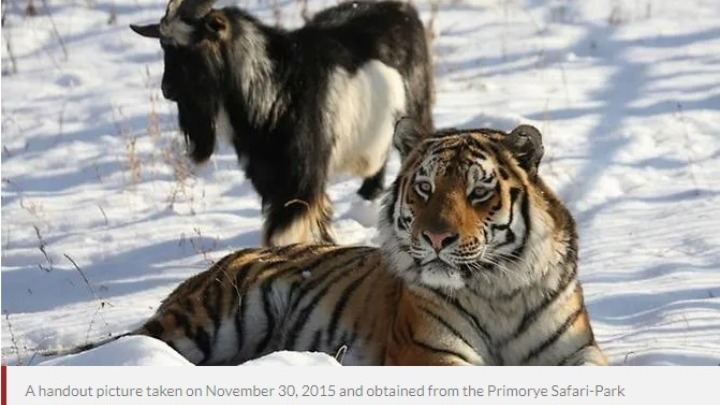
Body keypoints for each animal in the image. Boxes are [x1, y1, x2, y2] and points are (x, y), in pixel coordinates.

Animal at [43, 118, 608, 364]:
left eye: (478, 191)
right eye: (425, 188)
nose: (436, 237)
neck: (498, 293)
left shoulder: (576, 356)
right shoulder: (433, 356)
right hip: (206, 321)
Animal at [129, 0, 434, 245]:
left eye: (197, 45)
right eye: (164, 45)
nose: (167, 89)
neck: (276, 86)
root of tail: (401, 9)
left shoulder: (301, 178)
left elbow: (281, 234)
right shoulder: (271, 179)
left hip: (416, 112)